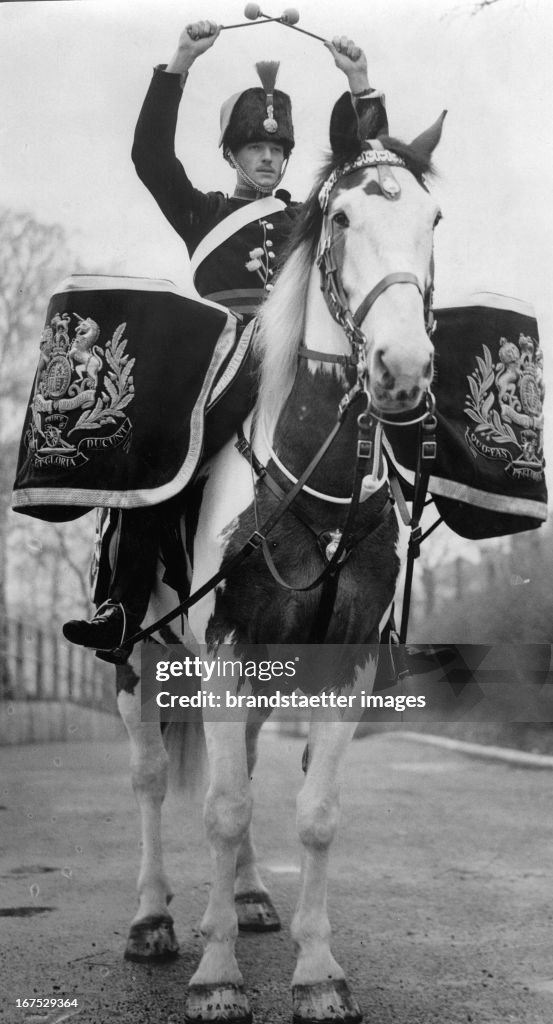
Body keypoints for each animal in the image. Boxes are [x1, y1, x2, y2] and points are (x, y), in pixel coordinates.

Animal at [115, 105, 444, 1024]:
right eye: (343, 219)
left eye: (433, 220)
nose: (402, 372)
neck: (317, 481)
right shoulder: (223, 650)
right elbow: (221, 810)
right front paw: (217, 977)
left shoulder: (343, 663)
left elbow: (315, 813)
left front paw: (318, 972)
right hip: (139, 653)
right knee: (151, 776)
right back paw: (154, 919)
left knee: (252, 763)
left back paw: (250, 897)